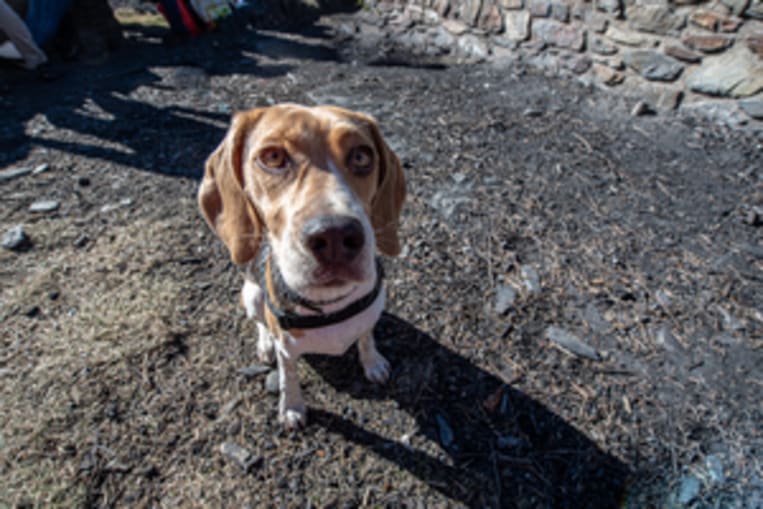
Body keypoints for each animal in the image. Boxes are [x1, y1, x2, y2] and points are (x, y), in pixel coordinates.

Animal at [200, 104, 408, 428]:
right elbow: (289, 378)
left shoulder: (370, 315)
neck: (331, 305)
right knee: (260, 323)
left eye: (362, 156)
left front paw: (373, 362)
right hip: (251, 296)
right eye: (273, 157)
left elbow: (366, 336)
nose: (335, 236)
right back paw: (265, 345)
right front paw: (293, 407)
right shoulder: (287, 350)